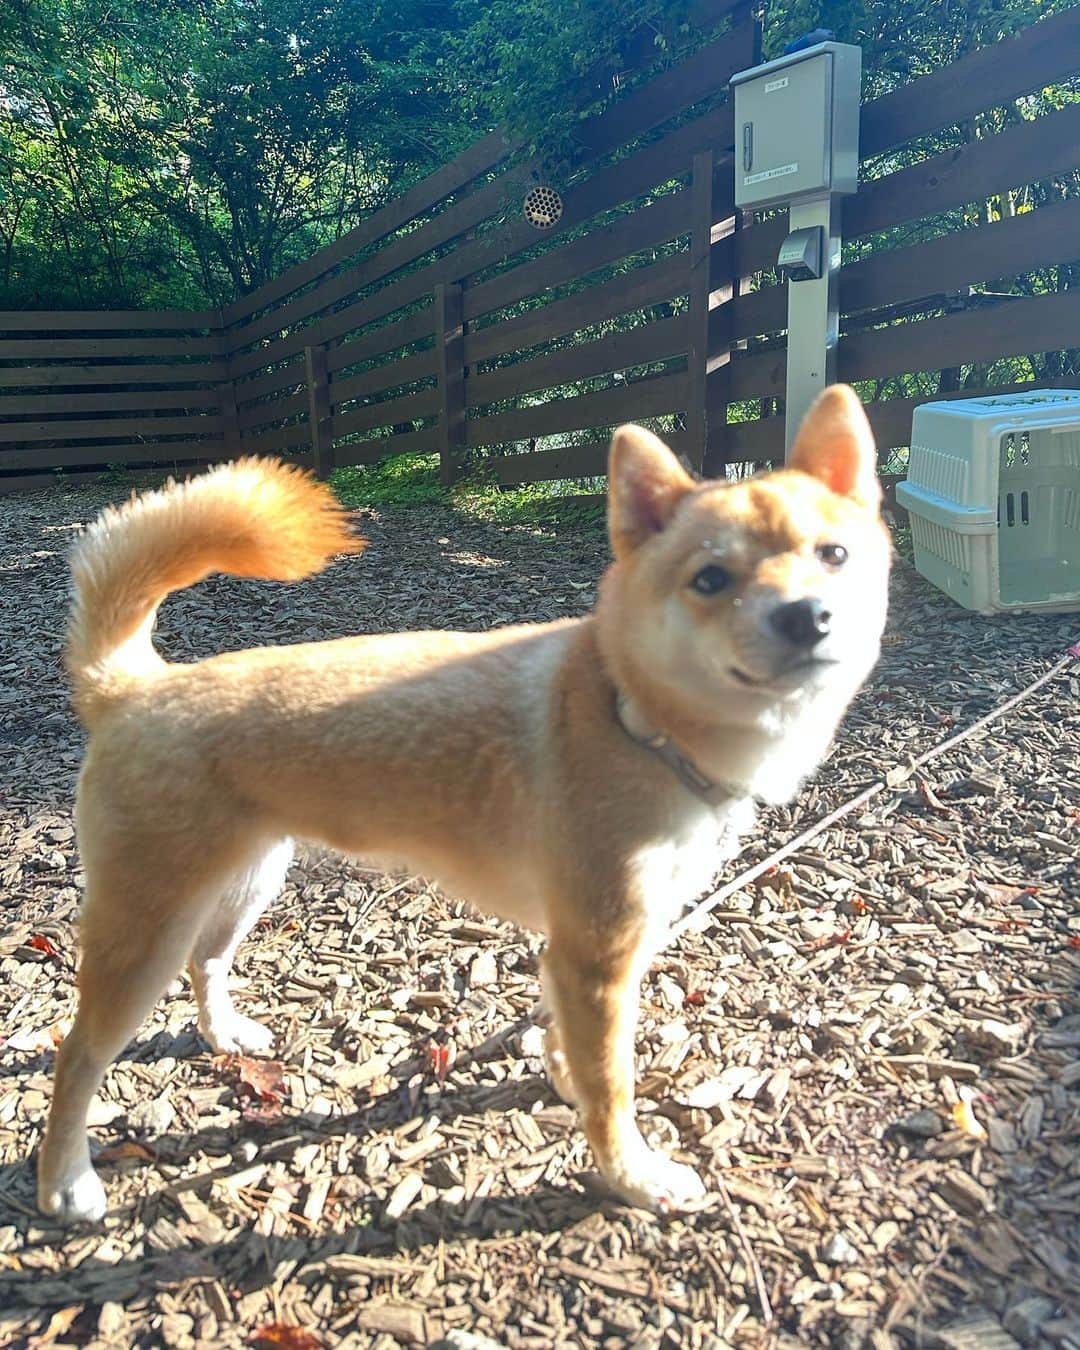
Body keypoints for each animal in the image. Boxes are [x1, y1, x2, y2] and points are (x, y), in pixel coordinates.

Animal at [35, 383, 896, 1225]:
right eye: (711, 579)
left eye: (833, 554)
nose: (807, 615)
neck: (632, 716)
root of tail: (133, 687)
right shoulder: (599, 953)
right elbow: (612, 1089)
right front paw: (634, 1176)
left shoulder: (592, 945)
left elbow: (572, 1045)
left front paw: (563, 1077)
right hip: (145, 929)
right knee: (76, 1054)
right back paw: (64, 1184)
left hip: (246, 880)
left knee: (207, 962)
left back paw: (224, 1036)